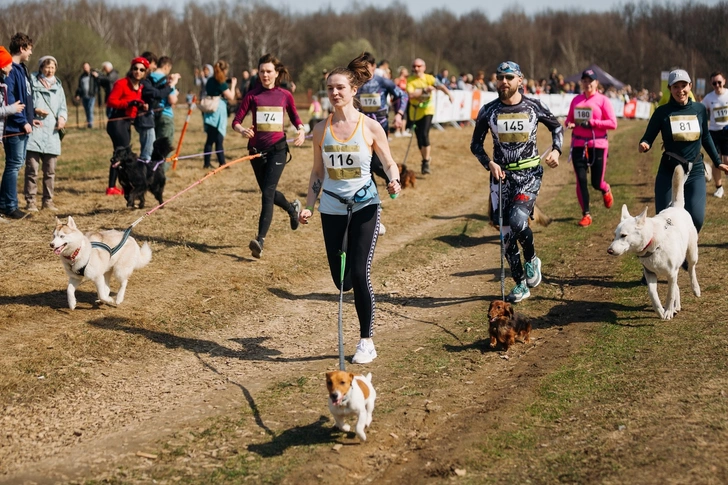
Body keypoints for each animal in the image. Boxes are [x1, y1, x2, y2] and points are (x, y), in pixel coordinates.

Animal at [604, 164, 704, 320]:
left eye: (624, 235)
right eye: (614, 235)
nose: (609, 250)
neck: (653, 246)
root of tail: (676, 207)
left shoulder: (671, 273)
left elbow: (669, 294)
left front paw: (668, 311)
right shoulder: (650, 273)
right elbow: (653, 294)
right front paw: (660, 311)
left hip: (692, 252)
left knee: (691, 269)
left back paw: (695, 289)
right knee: (676, 286)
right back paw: (676, 306)